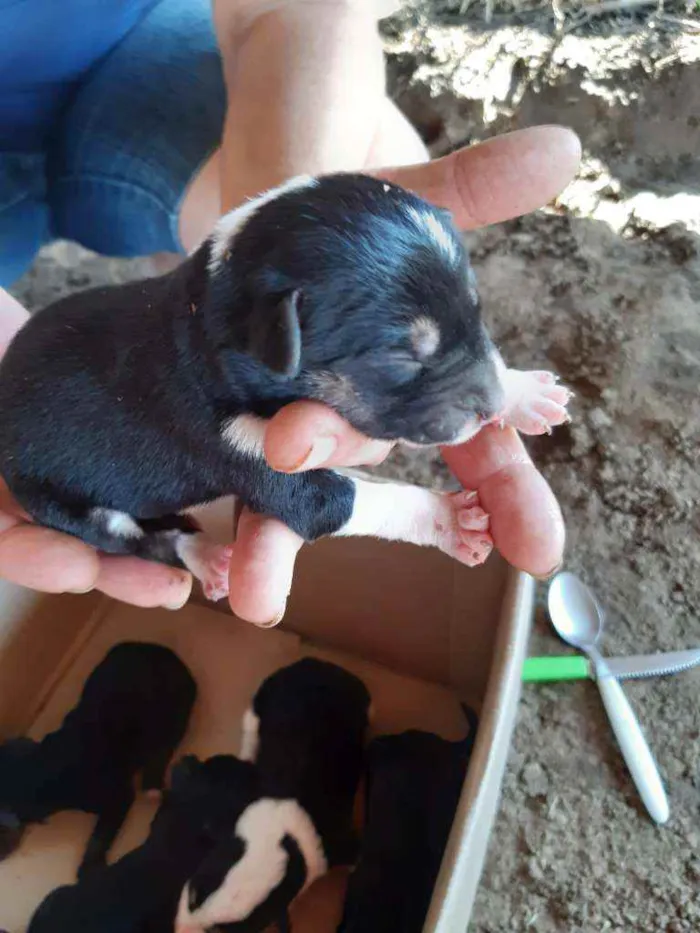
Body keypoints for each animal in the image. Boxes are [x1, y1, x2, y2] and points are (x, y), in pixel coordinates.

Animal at [0, 172, 572, 600]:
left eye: (478, 313)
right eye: (401, 357)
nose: (491, 404)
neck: (206, 309)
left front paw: (525, 393)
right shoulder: (250, 457)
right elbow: (352, 501)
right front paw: (450, 520)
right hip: (69, 507)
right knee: (149, 538)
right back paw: (208, 557)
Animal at [0, 640, 196, 872]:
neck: (45, 763)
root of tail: (167, 653)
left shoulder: (118, 797)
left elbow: (100, 837)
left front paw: (89, 867)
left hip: (175, 712)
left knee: (164, 746)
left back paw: (152, 785)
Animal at [175, 656, 372, 932]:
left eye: (222, 932)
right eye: (193, 896)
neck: (284, 834)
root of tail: (324, 665)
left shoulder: (339, 842)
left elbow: (357, 855)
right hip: (258, 707)